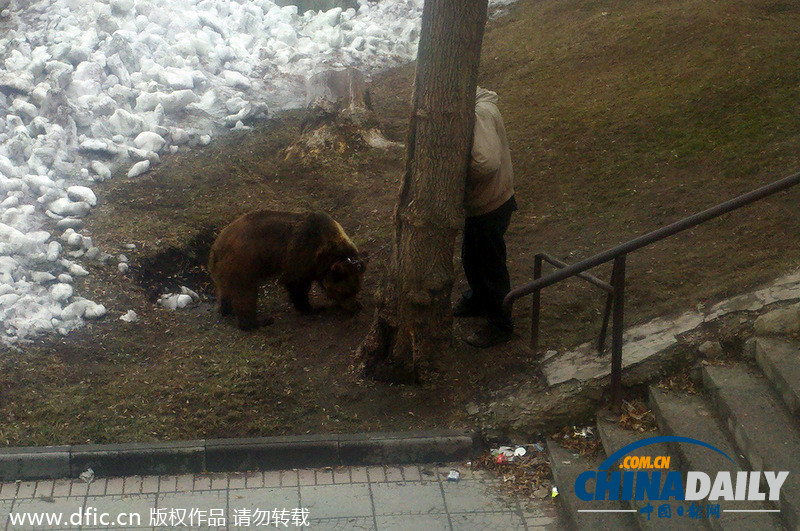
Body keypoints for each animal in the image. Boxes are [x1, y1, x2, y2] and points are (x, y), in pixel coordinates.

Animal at [208, 210, 367, 330]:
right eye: (344, 292)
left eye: (356, 289)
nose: (354, 308)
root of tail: (216, 247)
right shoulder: (301, 253)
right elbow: (296, 284)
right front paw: (310, 308)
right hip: (243, 263)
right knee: (245, 294)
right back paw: (258, 322)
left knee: (225, 290)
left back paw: (225, 309)